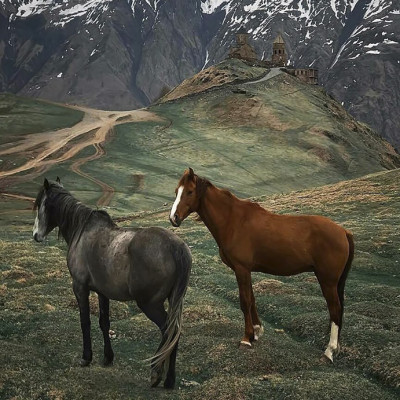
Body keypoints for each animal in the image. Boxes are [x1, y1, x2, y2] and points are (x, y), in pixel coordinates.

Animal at [32, 177, 192, 388]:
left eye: (40, 204)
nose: (35, 235)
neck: (82, 231)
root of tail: (176, 247)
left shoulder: (80, 287)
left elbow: (85, 321)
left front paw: (86, 357)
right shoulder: (102, 292)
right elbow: (104, 322)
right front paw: (108, 357)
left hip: (150, 304)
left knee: (168, 331)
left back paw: (156, 373)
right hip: (171, 300)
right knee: (175, 331)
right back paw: (169, 380)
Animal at [169, 167, 354, 360]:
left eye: (190, 192)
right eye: (176, 191)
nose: (173, 218)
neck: (233, 221)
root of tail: (343, 232)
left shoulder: (241, 269)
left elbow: (244, 301)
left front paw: (246, 339)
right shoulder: (246, 270)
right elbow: (252, 299)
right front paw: (256, 332)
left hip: (328, 281)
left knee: (335, 310)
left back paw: (329, 351)